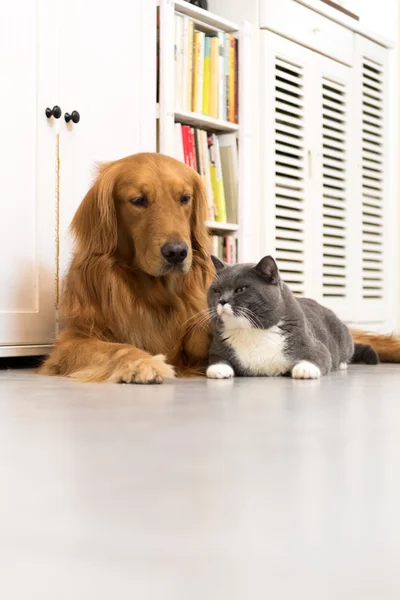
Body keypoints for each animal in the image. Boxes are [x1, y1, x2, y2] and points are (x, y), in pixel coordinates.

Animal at [206, 254, 378, 380]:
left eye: (241, 289)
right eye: (216, 291)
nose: (222, 301)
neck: (250, 331)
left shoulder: (310, 342)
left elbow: (321, 355)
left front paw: (305, 369)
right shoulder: (217, 347)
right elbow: (216, 358)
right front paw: (218, 369)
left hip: (343, 335)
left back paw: (342, 364)